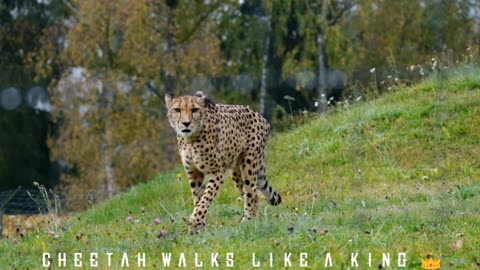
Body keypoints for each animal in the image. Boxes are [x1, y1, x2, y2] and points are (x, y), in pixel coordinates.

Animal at [166, 92, 282, 233]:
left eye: (195, 110)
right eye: (177, 110)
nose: (186, 123)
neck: (190, 140)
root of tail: (258, 115)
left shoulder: (216, 173)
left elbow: (205, 199)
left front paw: (194, 222)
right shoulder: (194, 173)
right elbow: (198, 199)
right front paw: (199, 227)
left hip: (249, 163)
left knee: (252, 193)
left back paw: (247, 221)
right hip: (236, 171)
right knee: (252, 194)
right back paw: (253, 219)